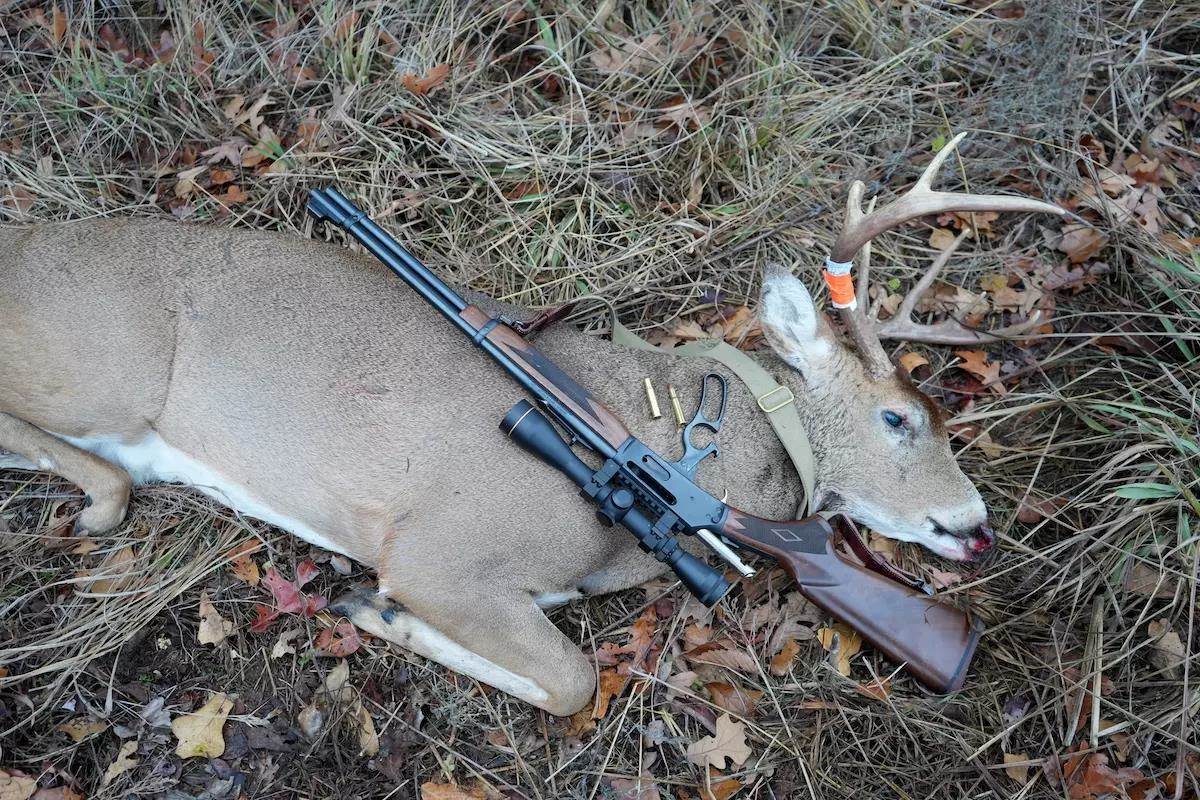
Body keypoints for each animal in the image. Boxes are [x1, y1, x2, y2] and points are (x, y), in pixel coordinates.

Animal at [0, 136, 1062, 715]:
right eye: (899, 417)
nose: (975, 525)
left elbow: (568, 676)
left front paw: (375, 615)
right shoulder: (439, 551)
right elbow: (574, 679)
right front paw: (376, 612)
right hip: (103, 373)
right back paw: (101, 504)